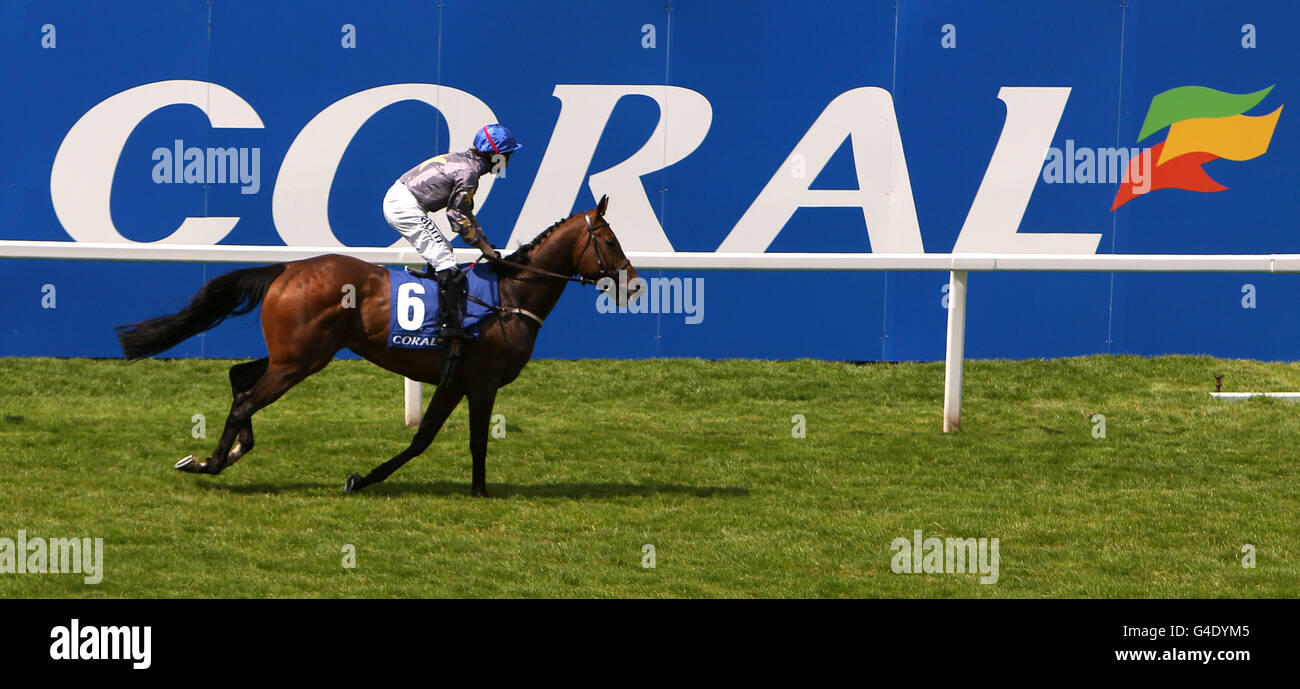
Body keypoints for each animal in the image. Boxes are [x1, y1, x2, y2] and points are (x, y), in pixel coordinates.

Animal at [116, 195, 634, 493]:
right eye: (609, 240)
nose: (634, 283)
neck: (509, 297)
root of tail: (287, 268)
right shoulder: (483, 383)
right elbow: (475, 441)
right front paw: (481, 492)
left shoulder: (454, 381)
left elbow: (422, 439)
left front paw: (362, 478)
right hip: (299, 362)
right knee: (245, 398)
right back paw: (211, 463)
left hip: (295, 355)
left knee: (239, 376)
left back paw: (229, 451)